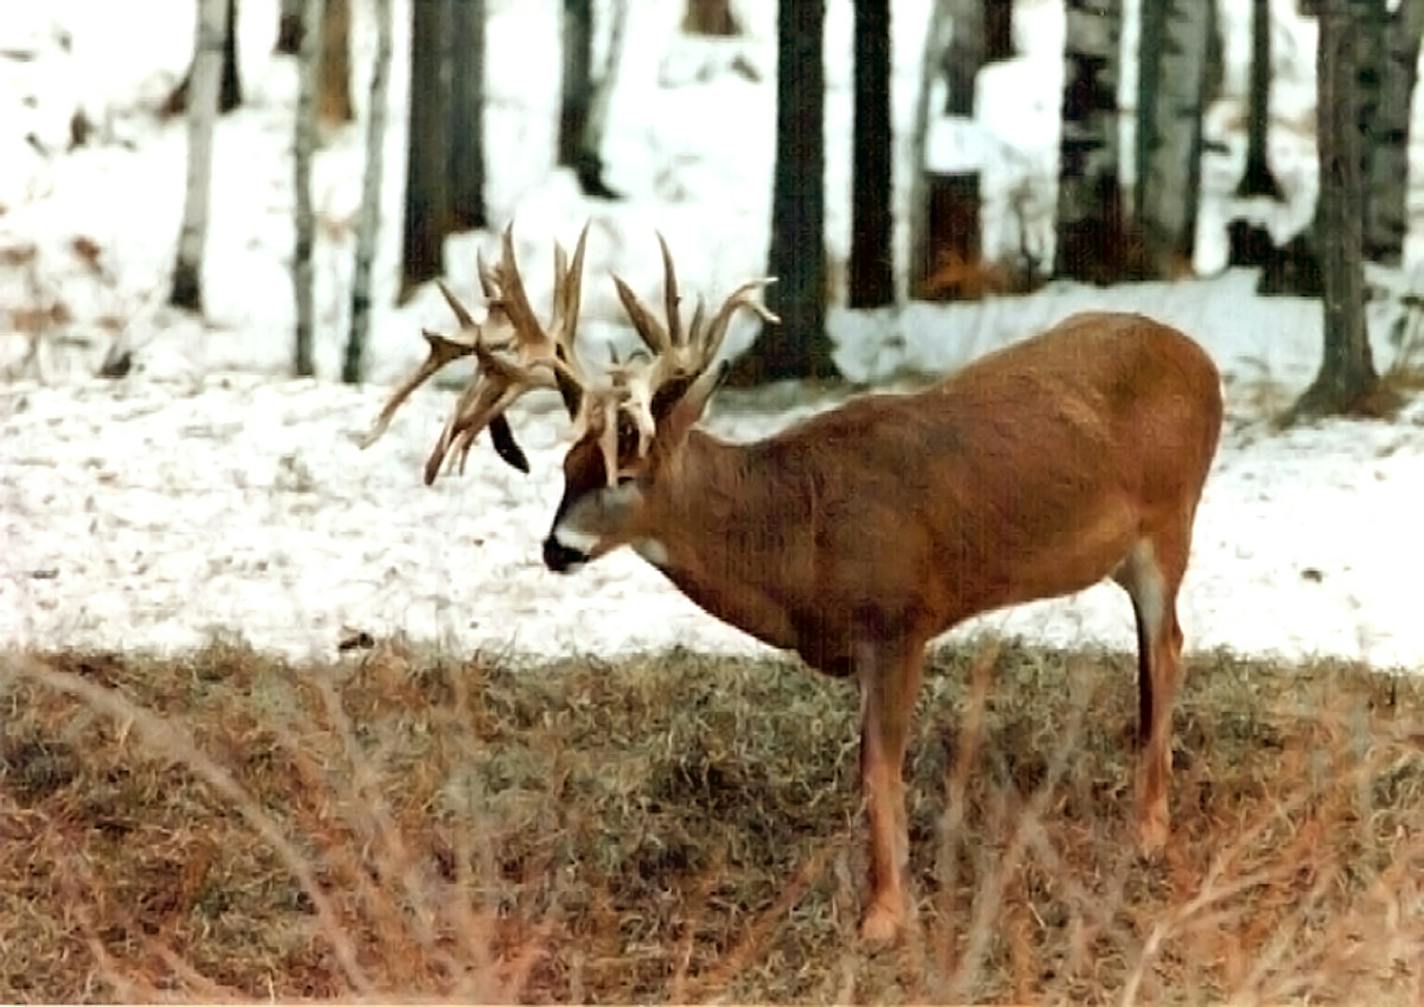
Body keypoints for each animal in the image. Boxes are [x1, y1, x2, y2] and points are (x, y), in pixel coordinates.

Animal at [364, 226, 1224, 945]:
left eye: (628, 471)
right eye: (568, 465)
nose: (556, 547)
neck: (796, 538)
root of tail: (1205, 360)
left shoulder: (900, 617)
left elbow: (877, 768)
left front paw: (884, 916)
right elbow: (868, 769)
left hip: (1171, 519)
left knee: (1170, 646)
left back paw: (1150, 830)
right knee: (1154, 656)